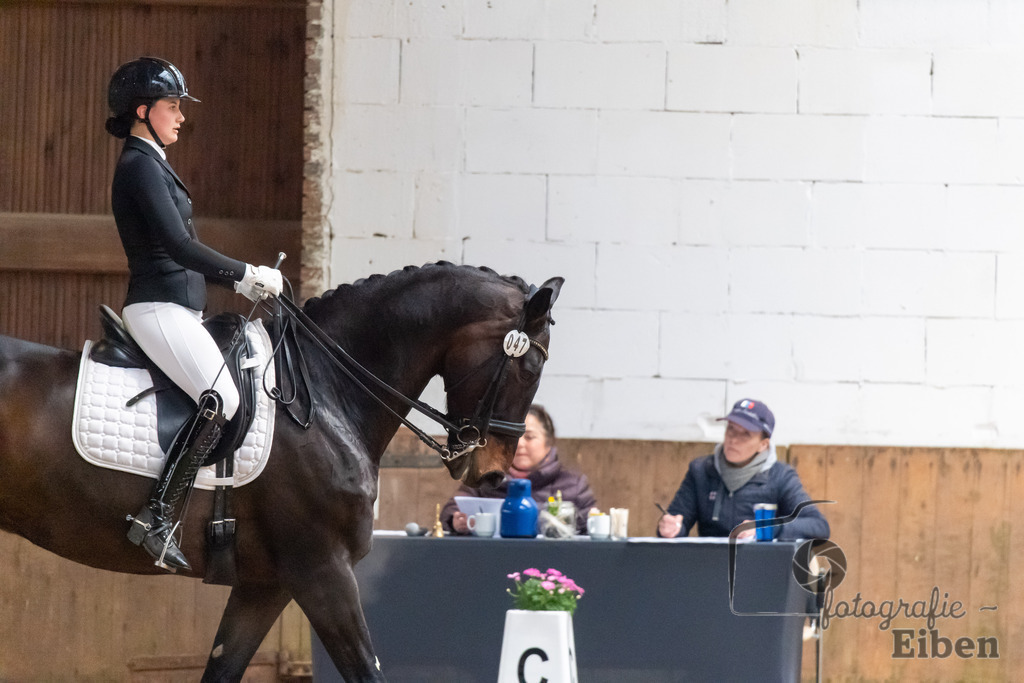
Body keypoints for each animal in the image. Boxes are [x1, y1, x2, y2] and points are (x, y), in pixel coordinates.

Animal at [0, 261, 563, 682]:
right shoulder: (321, 570)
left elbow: (223, 669)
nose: (492, 476)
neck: (328, 388)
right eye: (530, 367)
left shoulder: (267, 584)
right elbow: (367, 671)